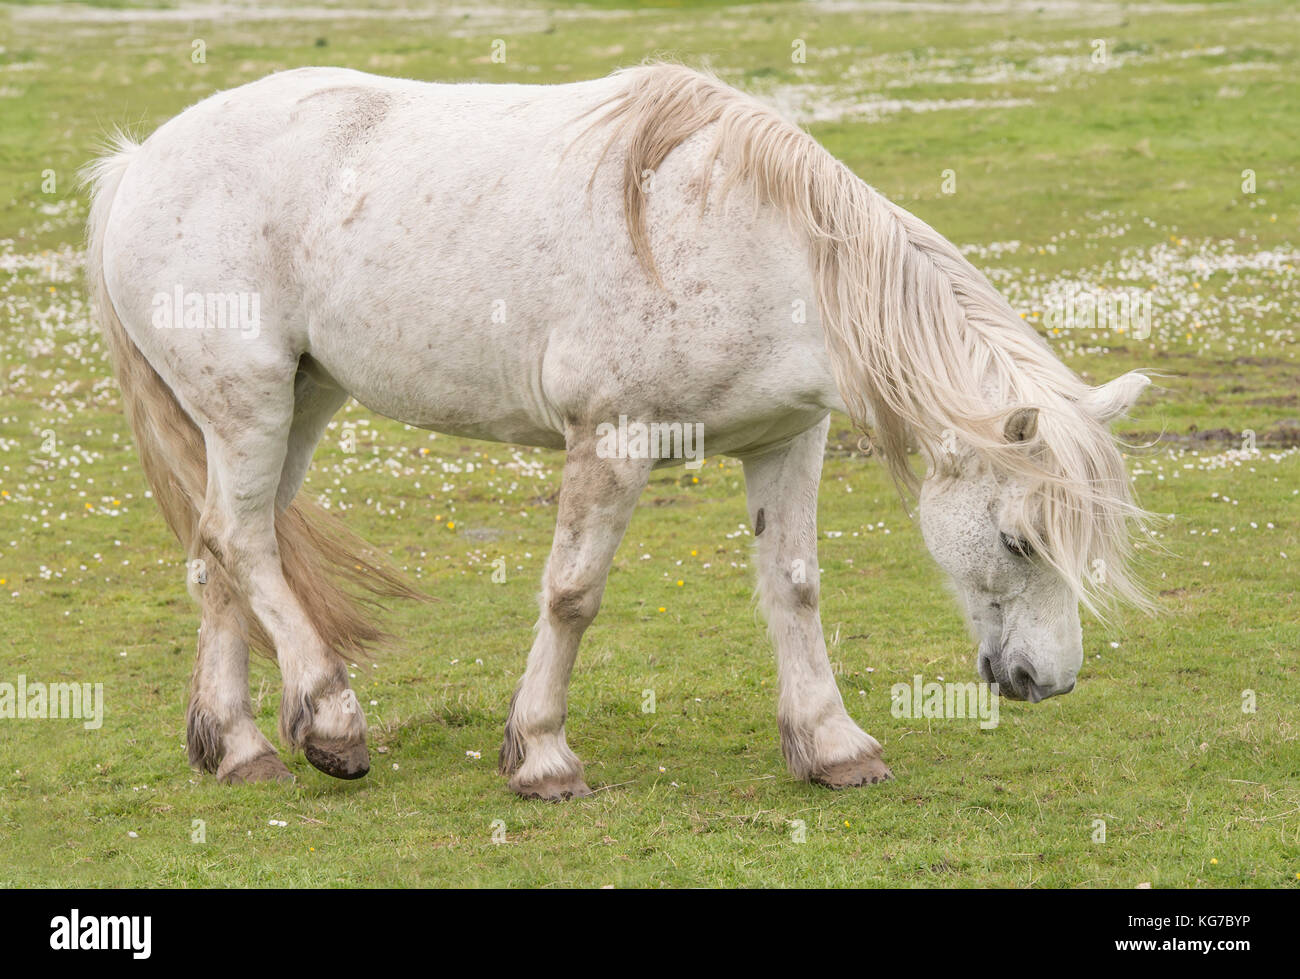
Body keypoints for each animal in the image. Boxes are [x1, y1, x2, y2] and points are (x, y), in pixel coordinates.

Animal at [86, 61, 1154, 795]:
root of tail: (139, 164)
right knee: (240, 544)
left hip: (293, 409)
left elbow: (795, 588)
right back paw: (333, 720)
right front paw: (542, 754)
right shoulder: (612, 439)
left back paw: (239, 747)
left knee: (224, 550)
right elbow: (572, 594)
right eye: (1018, 539)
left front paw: (832, 743)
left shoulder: (787, 440)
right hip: (250, 405)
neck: (755, 243)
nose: (1050, 679)